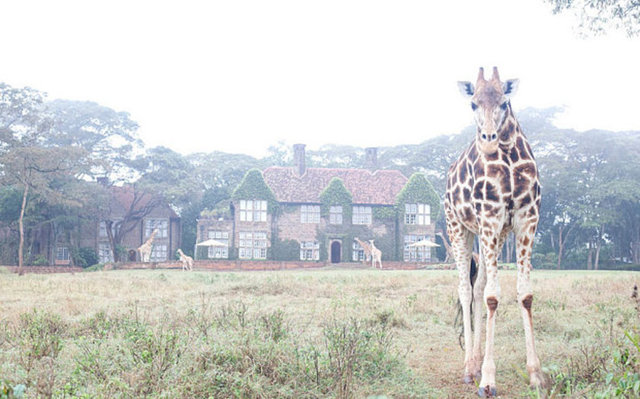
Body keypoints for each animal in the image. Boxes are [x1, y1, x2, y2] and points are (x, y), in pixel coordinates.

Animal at [444, 67, 544, 396]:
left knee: (477, 288)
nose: (487, 140)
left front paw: (536, 374)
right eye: (473, 103)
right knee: (465, 289)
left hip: (495, 236)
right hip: (458, 227)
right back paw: (468, 369)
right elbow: (492, 297)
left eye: (503, 102)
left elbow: (524, 294)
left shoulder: (526, 219)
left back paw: (474, 364)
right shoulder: (489, 217)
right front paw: (488, 380)